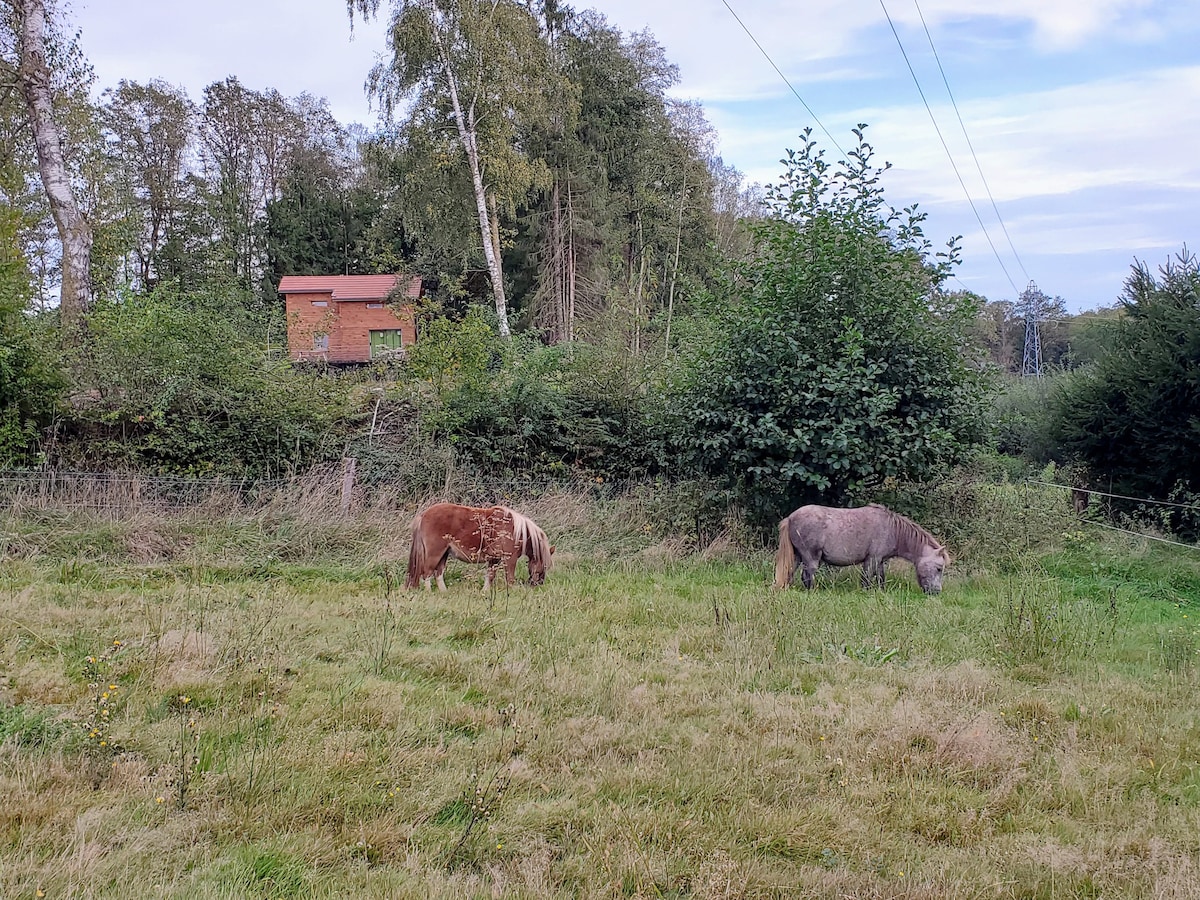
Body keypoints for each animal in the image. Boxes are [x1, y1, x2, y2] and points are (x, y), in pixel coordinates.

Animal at [403, 504, 552, 595]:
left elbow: (490, 576)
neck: (516, 530)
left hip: (444, 554)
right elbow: (509, 578)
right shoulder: (509, 559)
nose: (538, 584)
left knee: (438, 573)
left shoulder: (494, 559)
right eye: (544, 566)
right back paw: (429, 592)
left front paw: (484, 591)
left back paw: (444, 592)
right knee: (427, 572)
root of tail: (424, 515)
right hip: (435, 553)